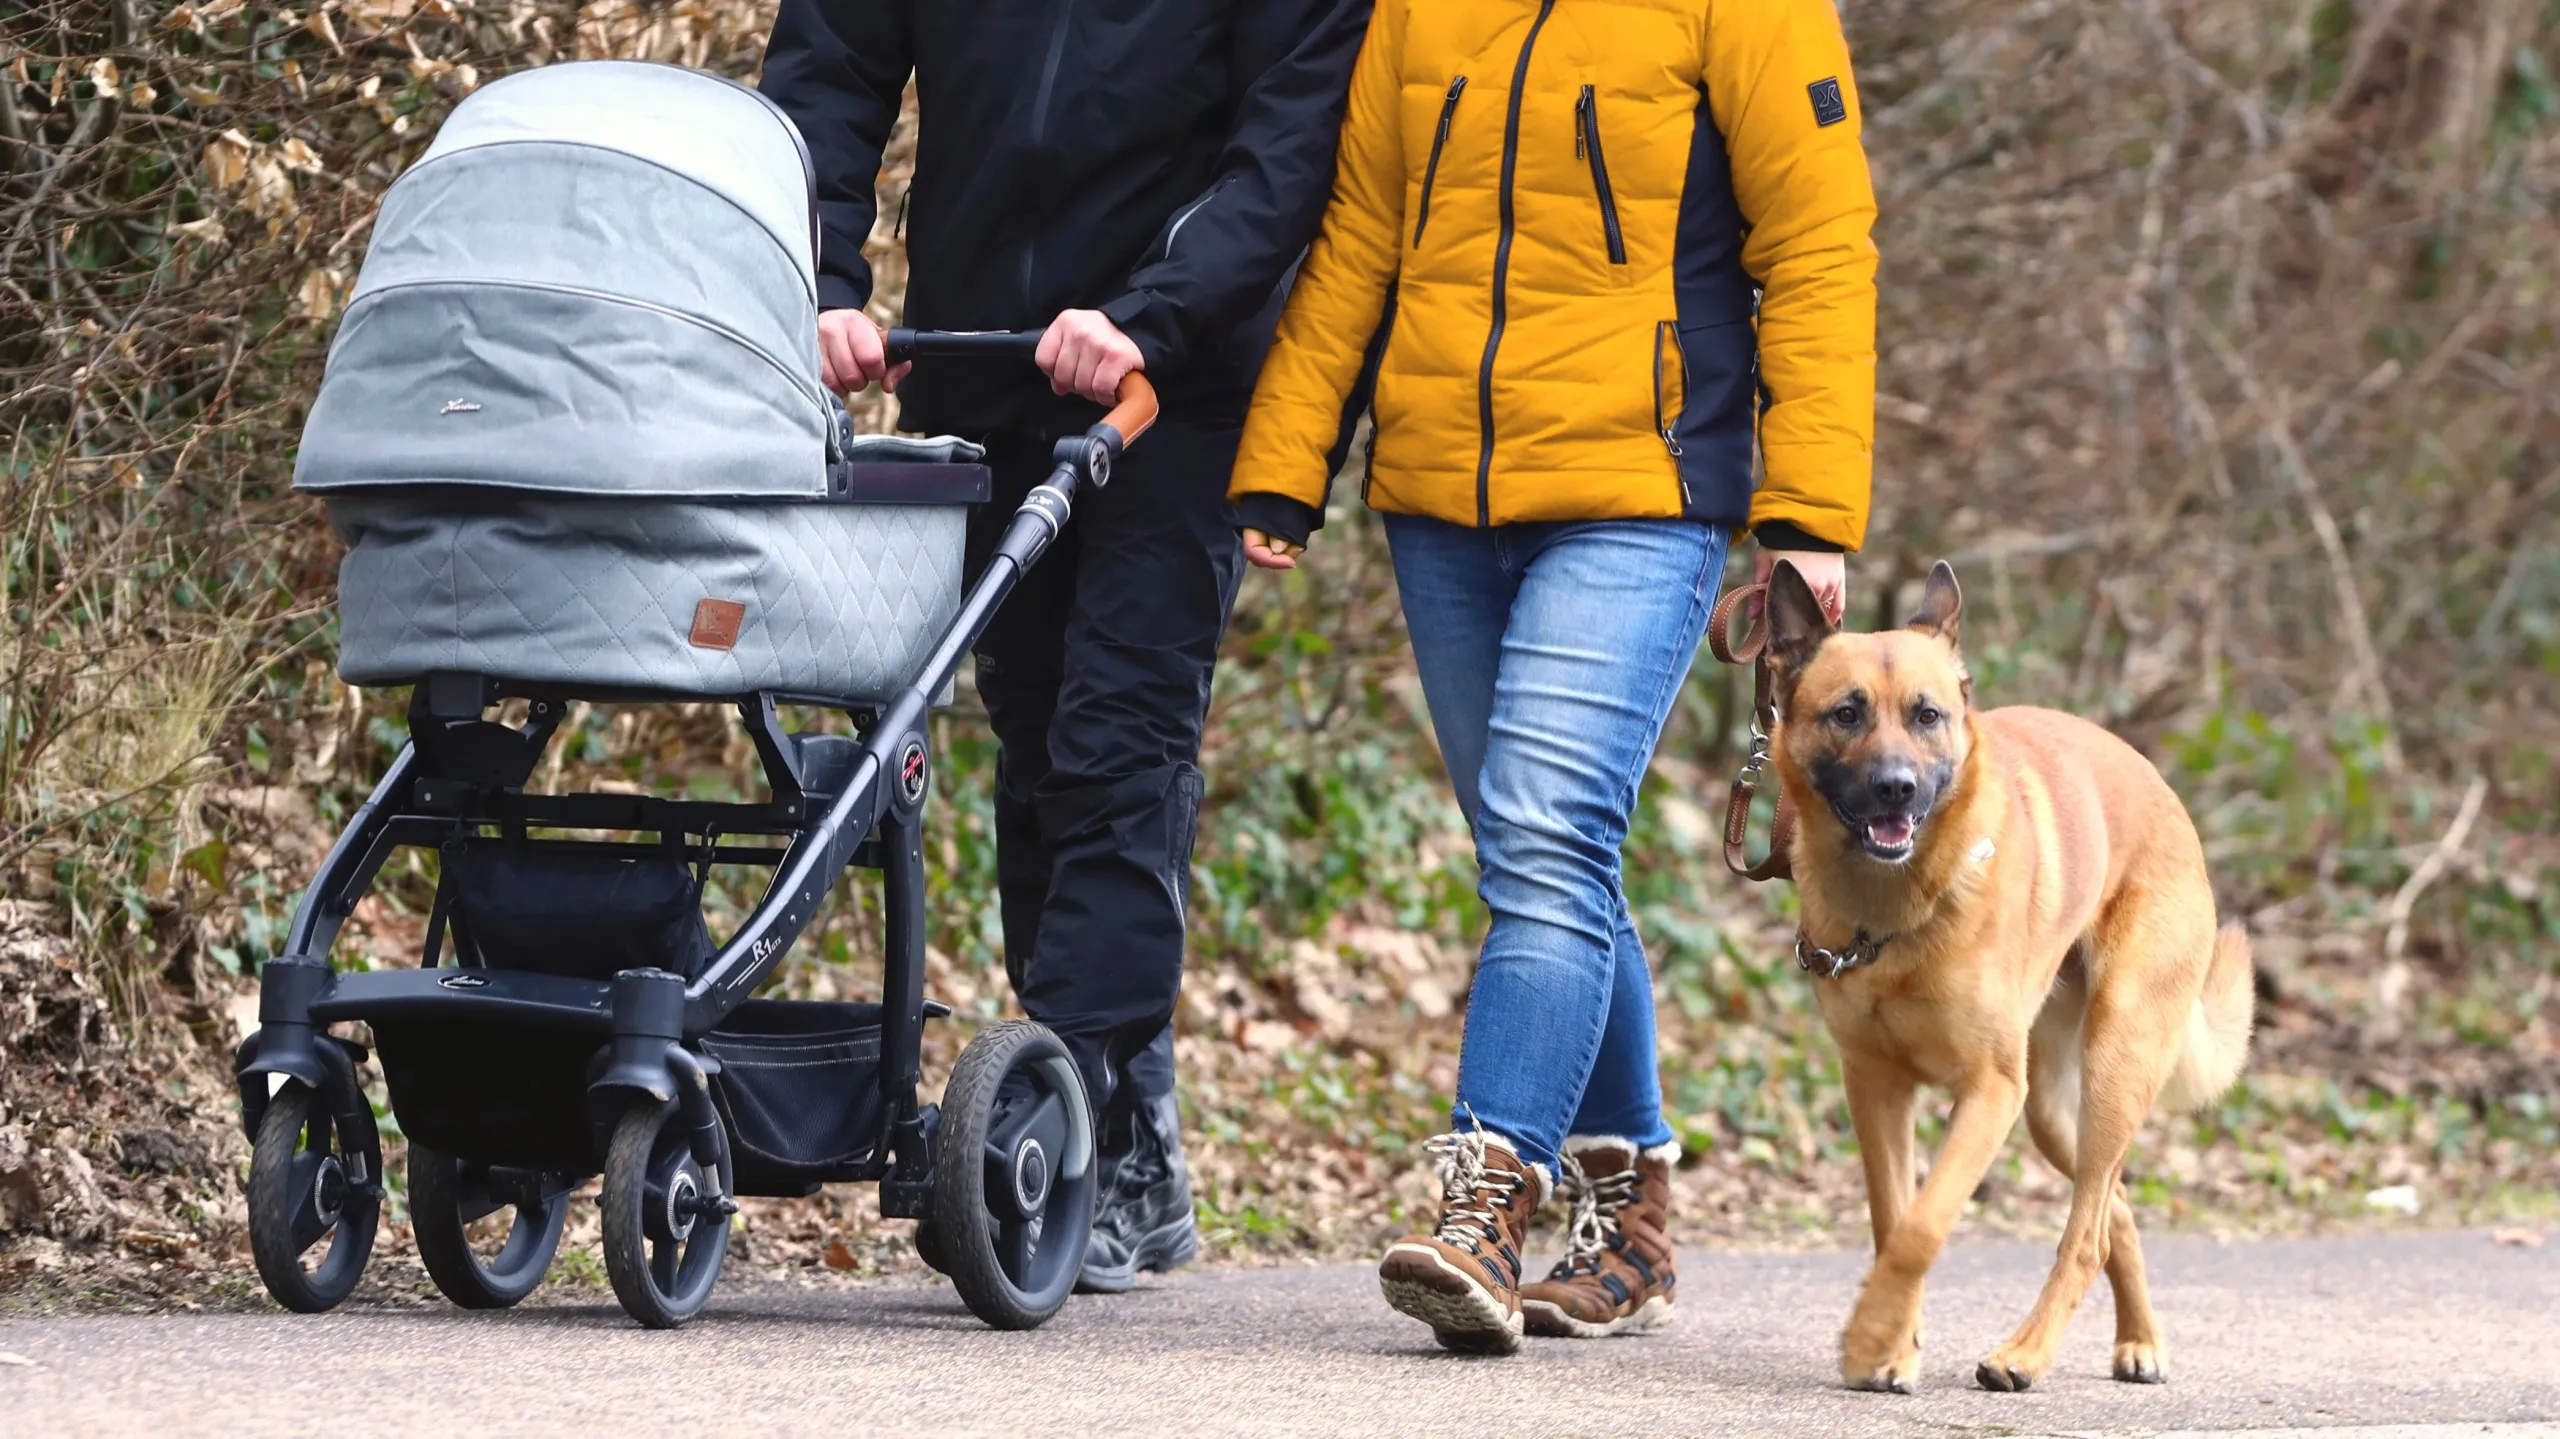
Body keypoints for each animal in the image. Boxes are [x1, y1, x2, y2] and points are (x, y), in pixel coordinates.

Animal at [1761, 560, 2263, 1392]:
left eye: (1927, 715)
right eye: (1846, 713)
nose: (1897, 787)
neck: (1898, 912)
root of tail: (2164, 790)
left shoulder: (1989, 1090)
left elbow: (1923, 1224)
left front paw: (1867, 1339)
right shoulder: (1876, 1087)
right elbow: (1892, 1219)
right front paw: (1894, 1343)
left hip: (2112, 1067)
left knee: (2087, 1232)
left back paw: (2025, 1353)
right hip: (2056, 1115)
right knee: (2115, 1207)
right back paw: (2138, 1338)